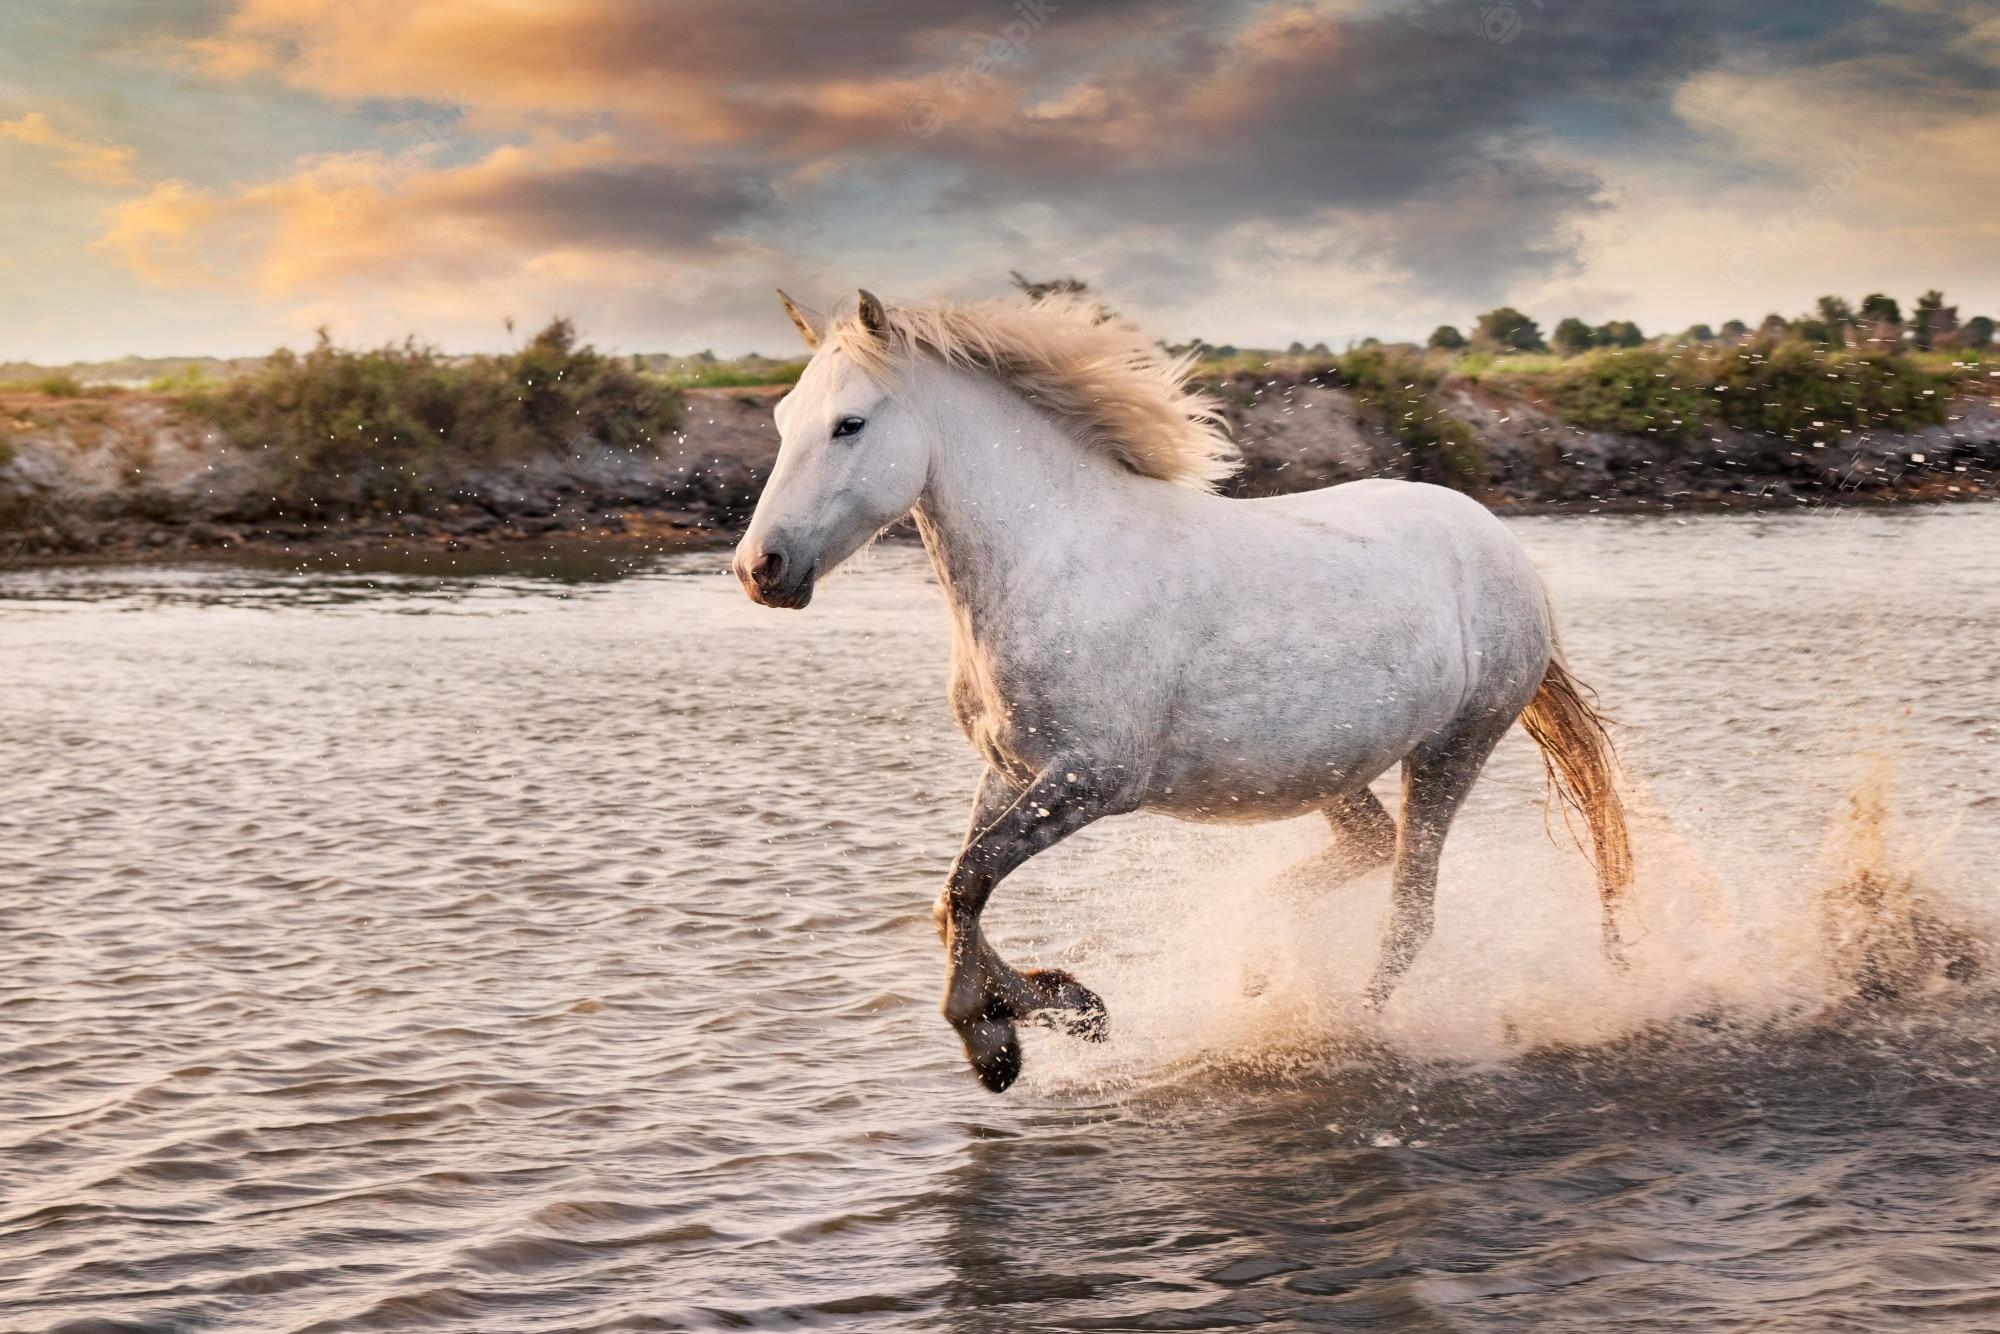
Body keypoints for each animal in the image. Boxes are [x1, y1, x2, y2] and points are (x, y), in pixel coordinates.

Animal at [732, 288, 1632, 1093]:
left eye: (849, 424)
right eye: (782, 420)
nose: (758, 569)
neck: (1053, 563)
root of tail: (1501, 544)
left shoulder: (1092, 781)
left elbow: (968, 882)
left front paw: (1001, 1040)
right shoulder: (1011, 772)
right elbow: (954, 896)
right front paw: (1065, 1008)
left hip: (1452, 750)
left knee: (1409, 913)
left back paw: (1342, 1025)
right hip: (1323, 768)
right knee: (1367, 851)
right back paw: (1260, 965)